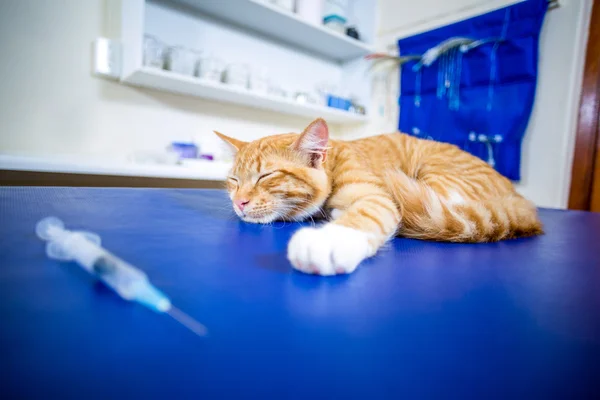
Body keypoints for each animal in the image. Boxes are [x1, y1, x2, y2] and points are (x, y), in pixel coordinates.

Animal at [217, 117, 544, 276]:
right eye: (234, 181)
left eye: (265, 176)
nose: (239, 202)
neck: (336, 158)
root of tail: (519, 201)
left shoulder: (376, 196)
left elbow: (364, 215)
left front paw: (328, 240)